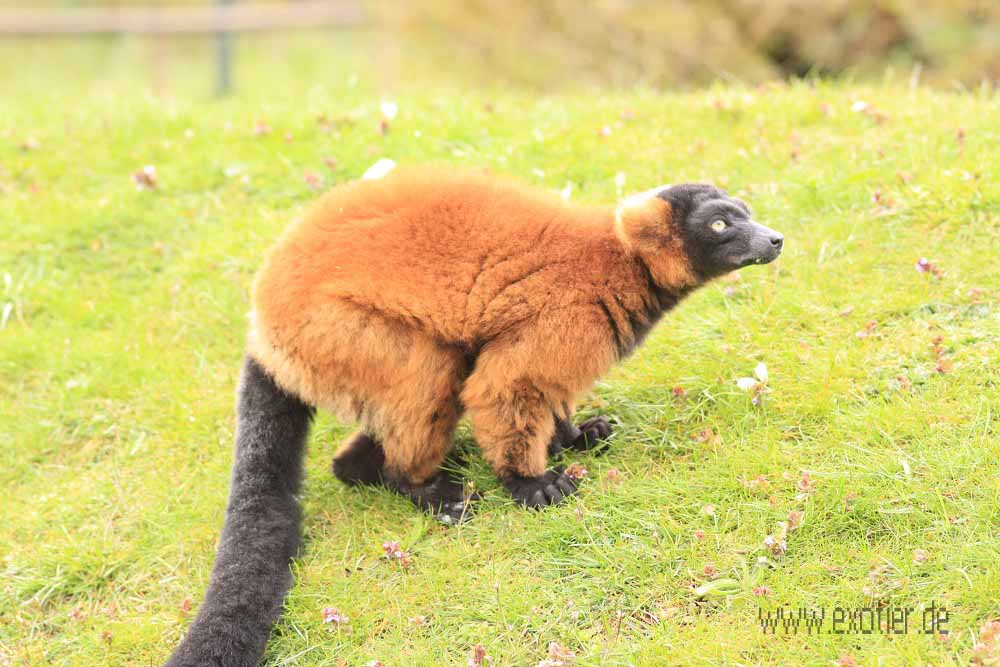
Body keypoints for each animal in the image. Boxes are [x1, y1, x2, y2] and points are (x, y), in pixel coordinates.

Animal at [164, 167, 783, 666]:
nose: (775, 239)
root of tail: (265, 328)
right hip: (331, 331)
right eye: (722, 224)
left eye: (747, 215)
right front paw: (531, 481)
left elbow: (546, 391)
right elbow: (508, 385)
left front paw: (574, 436)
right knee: (429, 371)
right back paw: (417, 484)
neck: (622, 261)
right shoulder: (570, 310)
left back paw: (362, 466)